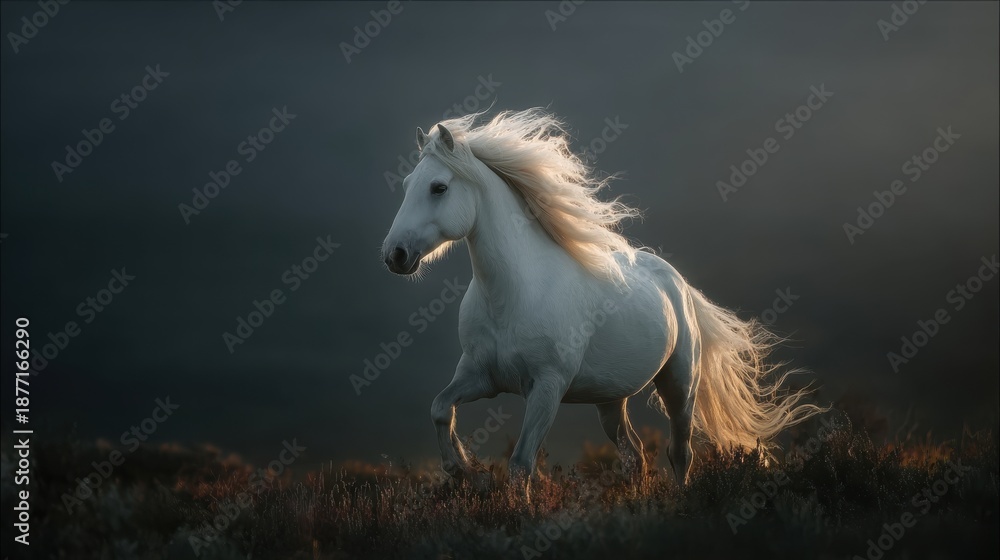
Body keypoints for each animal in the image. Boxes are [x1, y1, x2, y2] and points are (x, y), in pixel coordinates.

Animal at [381, 108, 823, 488]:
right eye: (405, 185)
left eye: (439, 187)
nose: (394, 255)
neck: (512, 295)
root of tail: (678, 285)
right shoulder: (479, 376)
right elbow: (440, 408)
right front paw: (459, 468)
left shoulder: (547, 387)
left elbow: (521, 464)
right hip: (611, 401)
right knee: (636, 455)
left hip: (679, 385)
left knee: (680, 453)